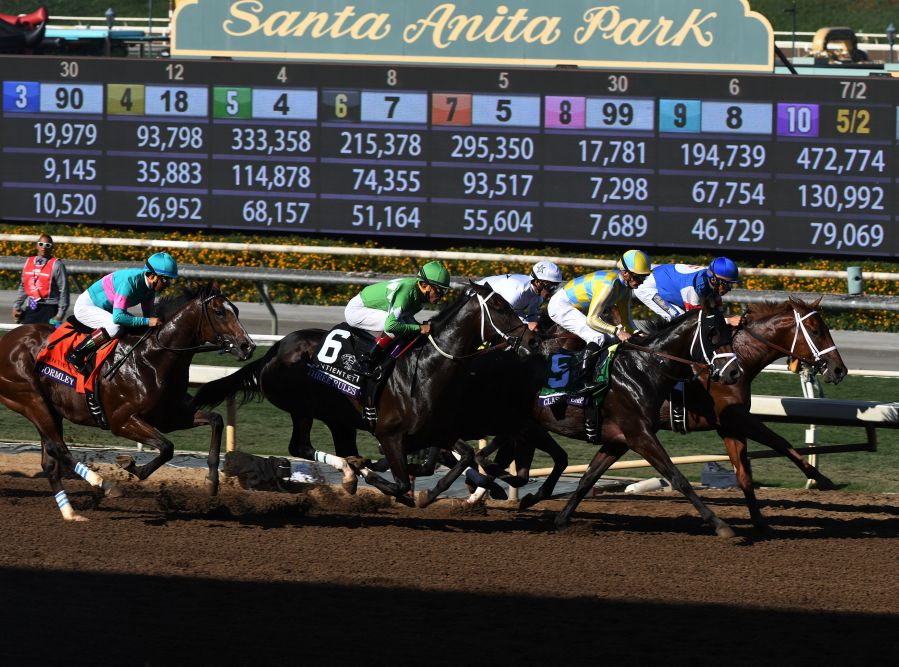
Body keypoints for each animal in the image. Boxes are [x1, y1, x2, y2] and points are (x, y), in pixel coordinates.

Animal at [0, 282, 256, 520]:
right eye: (219, 312)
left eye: (236, 310)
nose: (248, 346)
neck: (152, 358)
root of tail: (7, 340)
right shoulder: (121, 420)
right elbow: (167, 447)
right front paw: (130, 465)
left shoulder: (171, 416)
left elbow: (216, 420)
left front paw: (212, 481)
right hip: (31, 400)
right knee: (59, 449)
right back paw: (104, 484)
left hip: (48, 409)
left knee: (50, 461)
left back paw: (70, 513)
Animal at [194, 282, 544, 506]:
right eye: (499, 306)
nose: (533, 340)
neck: (427, 369)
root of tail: (273, 352)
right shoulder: (390, 435)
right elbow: (402, 481)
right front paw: (396, 485)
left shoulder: (436, 432)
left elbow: (466, 455)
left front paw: (430, 492)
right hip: (305, 407)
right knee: (301, 446)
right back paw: (355, 471)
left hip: (338, 419)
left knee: (321, 447)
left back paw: (354, 470)